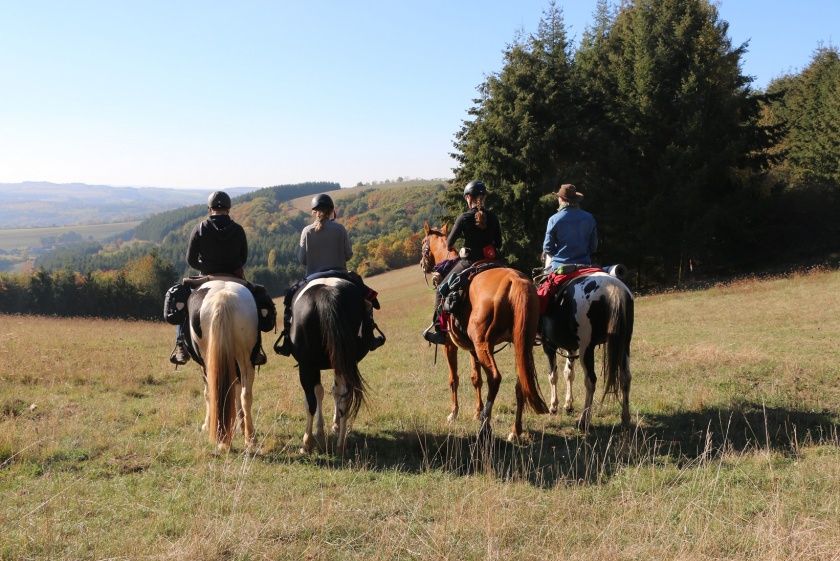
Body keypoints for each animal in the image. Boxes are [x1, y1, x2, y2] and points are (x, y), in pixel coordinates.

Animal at [282, 276, 368, 456]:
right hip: (343, 363)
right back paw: (341, 444)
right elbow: (332, 392)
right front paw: (333, 425)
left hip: (306, 367)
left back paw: (307, 443)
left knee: (311, 402)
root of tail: (326, 293)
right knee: (344, 397)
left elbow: (318, 393)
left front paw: (319, 431)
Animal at [420, 221, 552, 440]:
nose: (423, 265)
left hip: (484, 345)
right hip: (520, 344)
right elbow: (476, 378)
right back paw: (515, 430)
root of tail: (515, 281)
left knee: (495, 378)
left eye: (423, 244)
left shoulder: (450, 344)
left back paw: (486, 425)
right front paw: (476, 411)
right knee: (520, 383)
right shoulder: (473, 348)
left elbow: (454, 379)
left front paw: (454, 413)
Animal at [540, 264, 632, 430]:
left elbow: (553, 375)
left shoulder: (548, 346)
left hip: (586, 349)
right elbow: (569, 373)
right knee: (625, 377)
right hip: (624, 345)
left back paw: (584, 420)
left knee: (590, 381)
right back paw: (625, 418)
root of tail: (612, 289)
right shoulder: (571, 349)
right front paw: (568, 405)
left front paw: (554, 406)